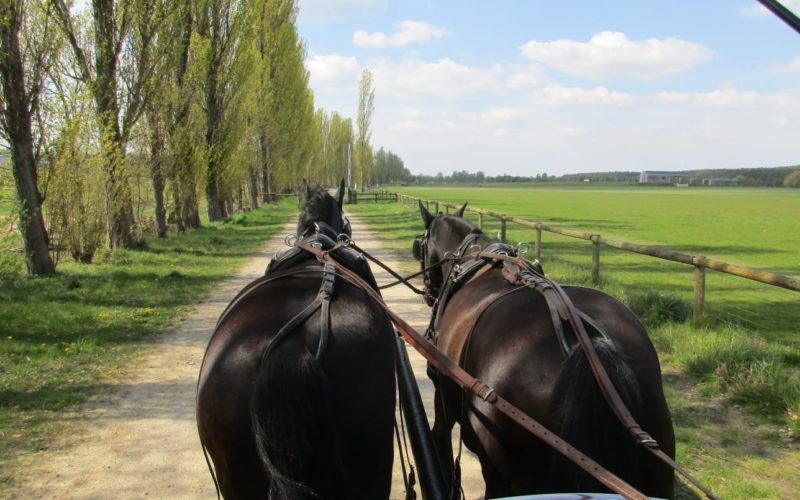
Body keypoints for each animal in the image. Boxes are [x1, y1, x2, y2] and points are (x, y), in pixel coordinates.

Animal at [418, 201, 676, 498]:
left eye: (421, 244)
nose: (429, 292)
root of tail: (587, 344)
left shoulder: (442, 399)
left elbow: (440, 443)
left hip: (507, 479)